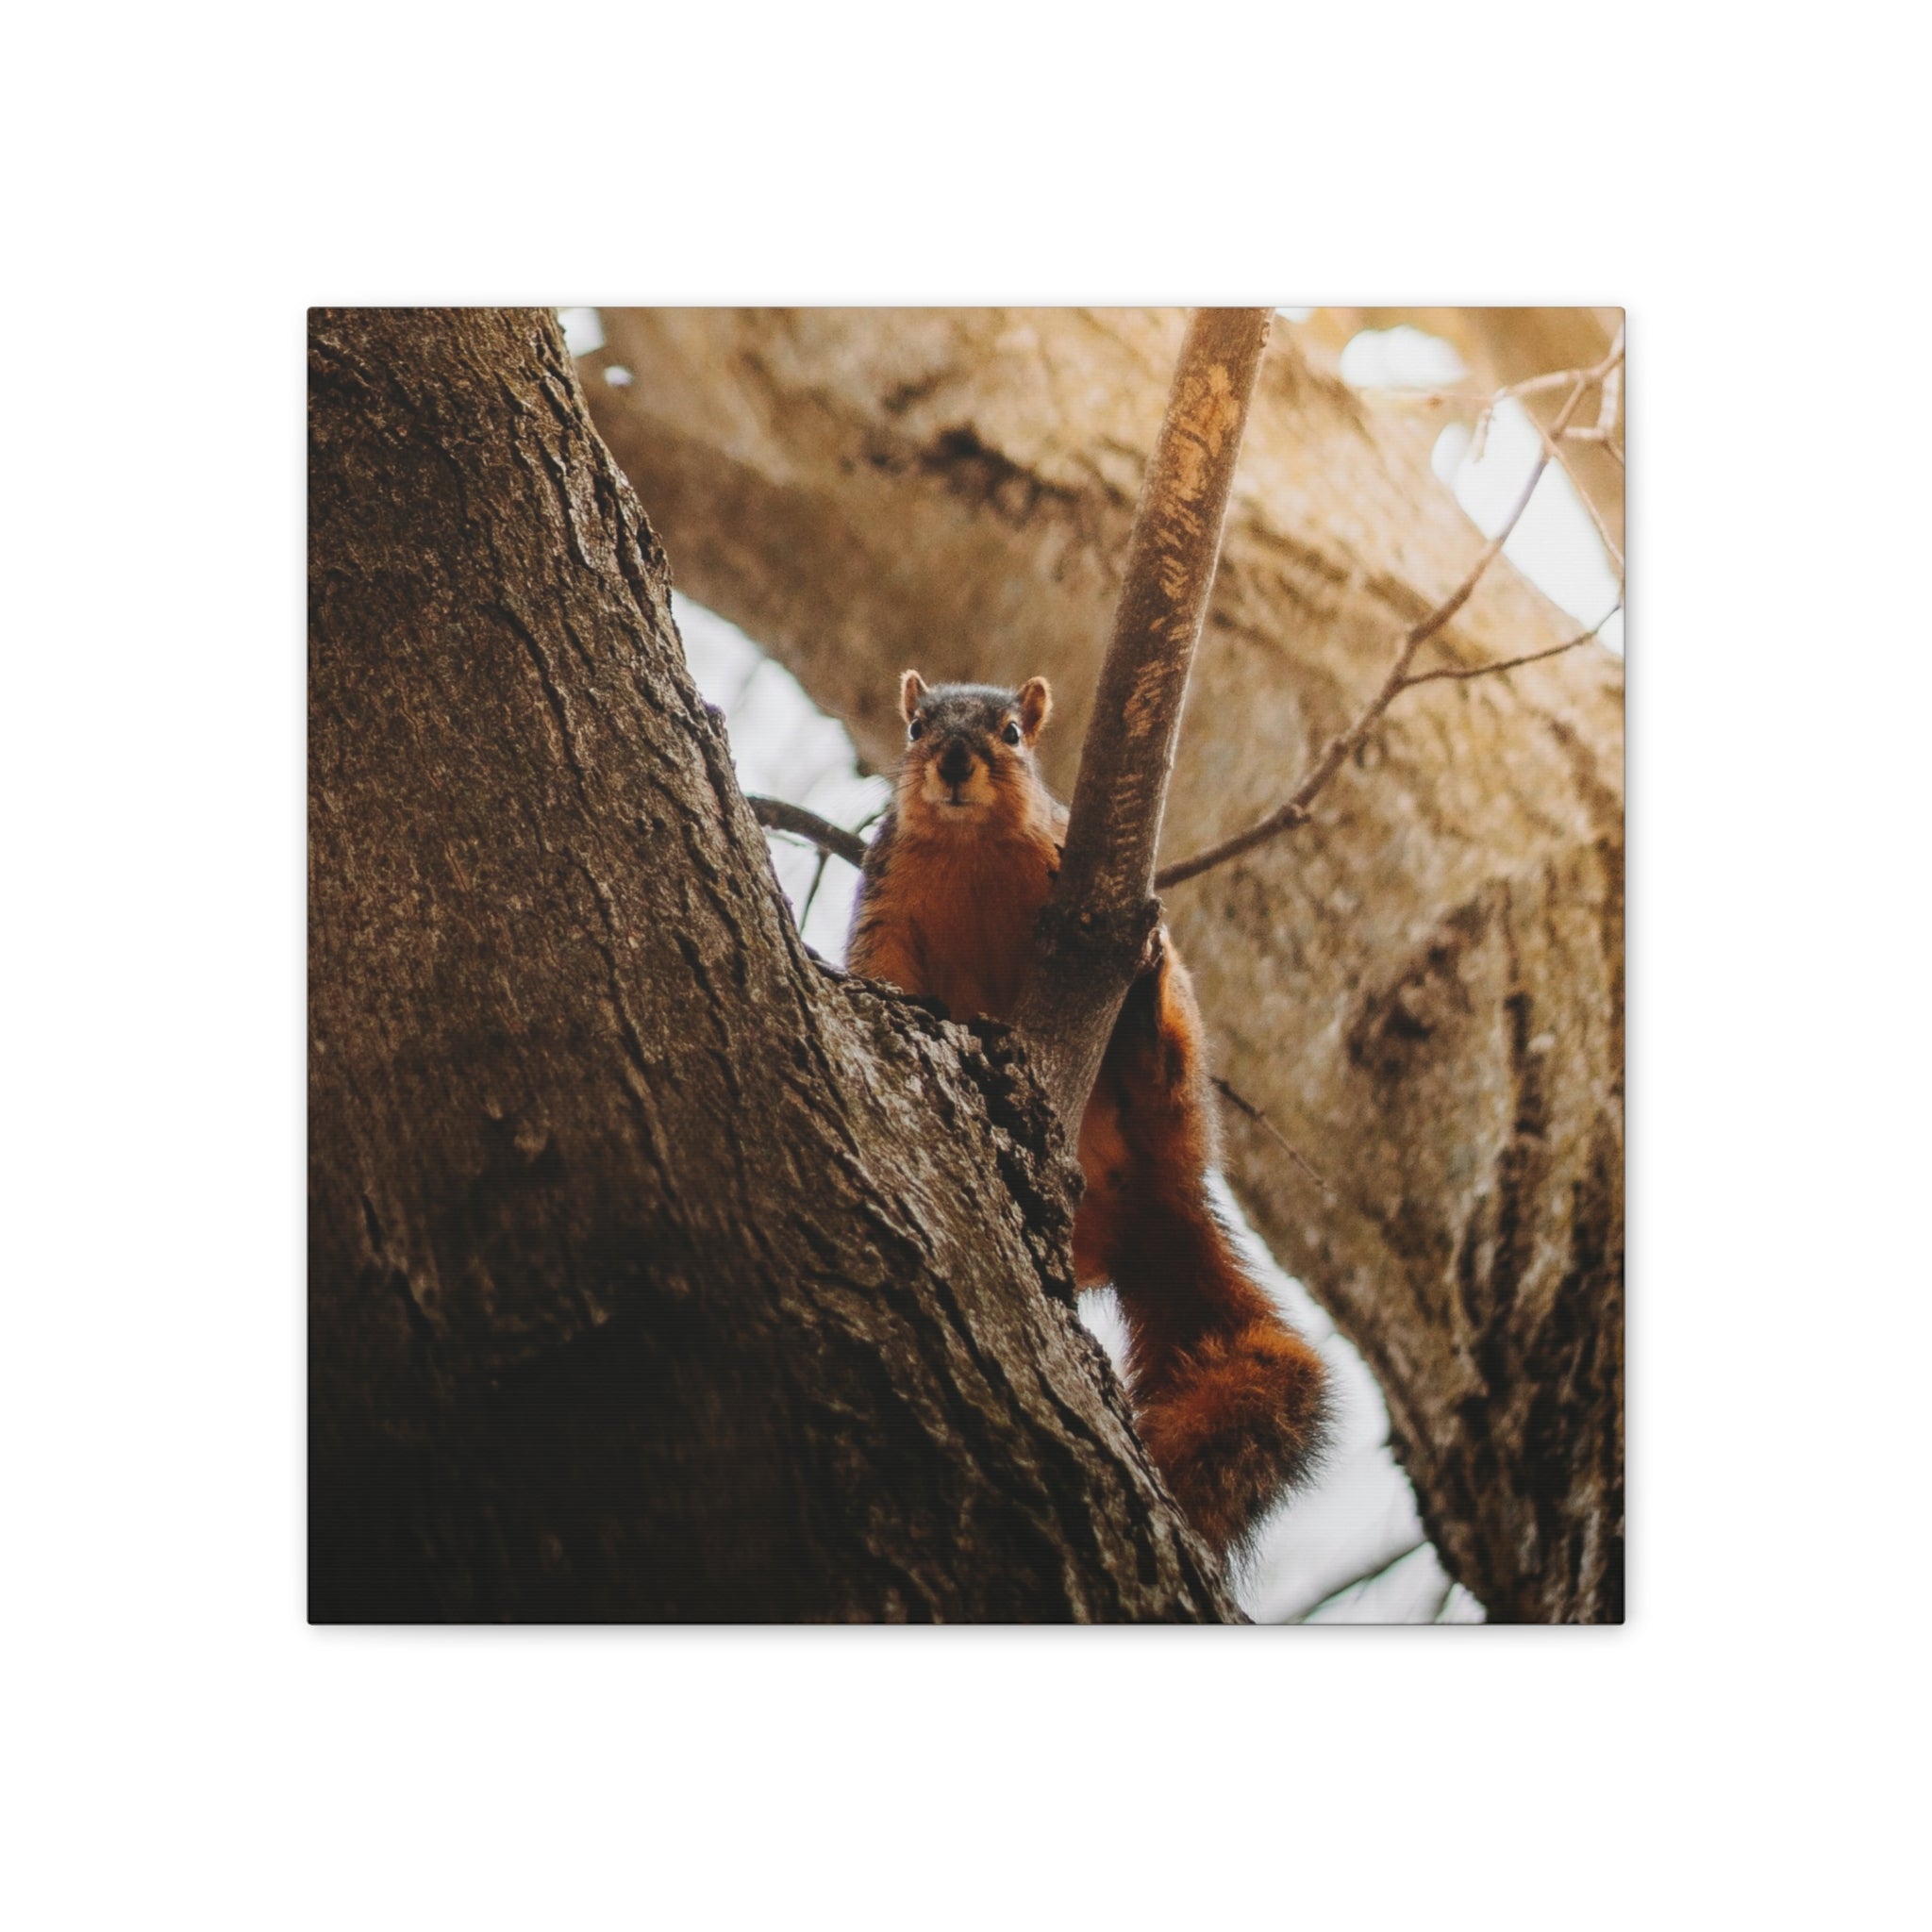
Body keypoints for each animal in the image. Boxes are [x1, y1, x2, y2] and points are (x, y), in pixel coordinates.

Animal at [848, 670, 1329, 1559]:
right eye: (916, 728)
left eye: (1012, 732)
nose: (955, 760)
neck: (970, 850)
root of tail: (1154, 1200)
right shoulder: (886, 903)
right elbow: (885, 971)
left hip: (1178, 1100)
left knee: (1163, 1073)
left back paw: (1145, 1022)